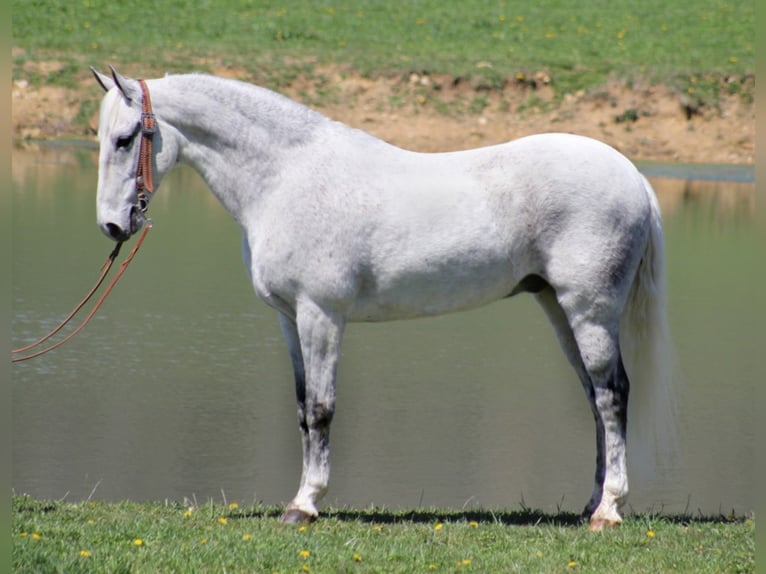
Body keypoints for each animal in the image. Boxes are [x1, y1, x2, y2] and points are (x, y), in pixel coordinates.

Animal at [91, 66, 680, 532]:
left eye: (124, 139)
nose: (113, 226)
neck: (286, 179)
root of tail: (632, 174)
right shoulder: (288, 319)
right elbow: (302, 408)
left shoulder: (321, 315)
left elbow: (323, 409)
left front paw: (305, 505)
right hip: (559, 309)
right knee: (595, 400)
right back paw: (591, 504)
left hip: (590, 312)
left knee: (613, 395)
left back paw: (609, 511)